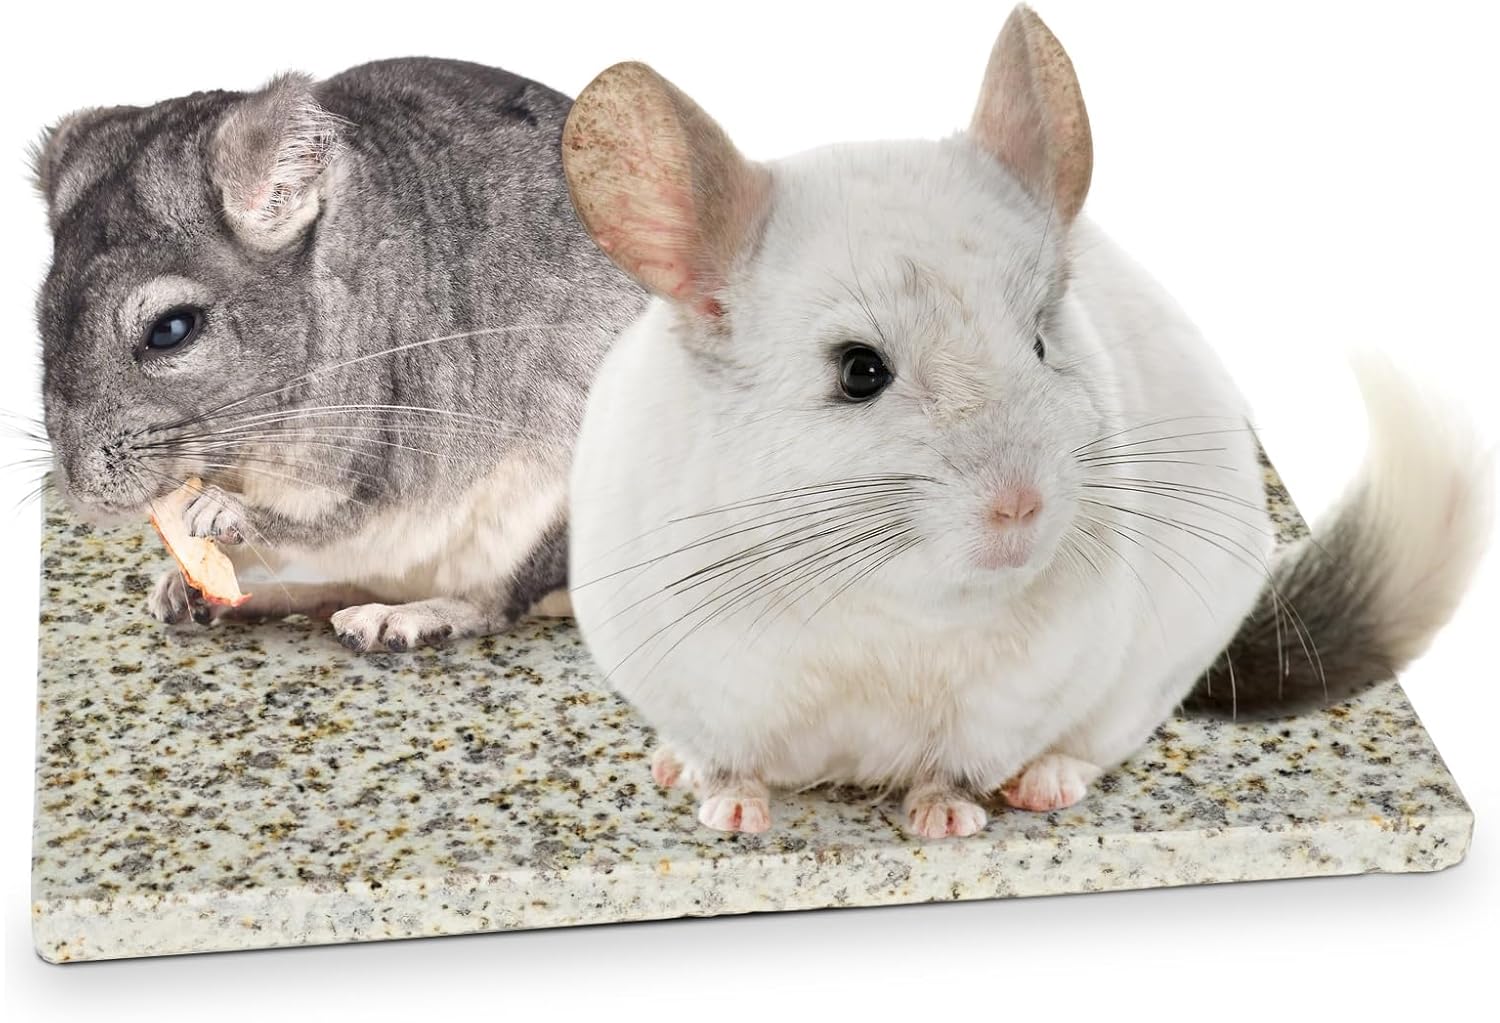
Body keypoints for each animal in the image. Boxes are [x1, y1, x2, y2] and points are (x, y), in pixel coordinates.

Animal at [34, 58, 644, 651]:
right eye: (41, 318)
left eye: (171, 329)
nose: (82, 496)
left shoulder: (395, 452)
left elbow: (326, 520)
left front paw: (217, 511)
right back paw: (206, 598)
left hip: (550, 518)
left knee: (492, 606)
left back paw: (396, 621)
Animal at [560, 6, 1491, 836]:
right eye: (860, 371)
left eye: (1042, 340)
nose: (1020, 507)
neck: (888, 605)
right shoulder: (689, 674)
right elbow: (735, 760)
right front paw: (732, 809)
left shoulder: (1013, 701)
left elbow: (951, 767)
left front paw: (946, 819)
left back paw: (1046, 783)